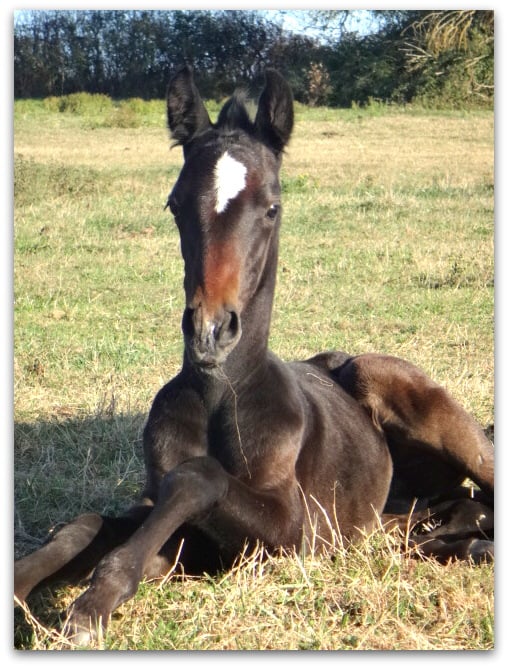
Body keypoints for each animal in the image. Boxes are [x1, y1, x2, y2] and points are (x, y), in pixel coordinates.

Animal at [14, 67, 494, 645]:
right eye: (175, 204)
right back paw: (460, 540)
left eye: (271, 206)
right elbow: (87, 526)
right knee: (452, 513)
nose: (210, 333)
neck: (220, 396)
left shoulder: (292, 533)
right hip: (403, 511)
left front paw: (94, 602)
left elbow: (197, 477)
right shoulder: (181, 535)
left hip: (419, 406)